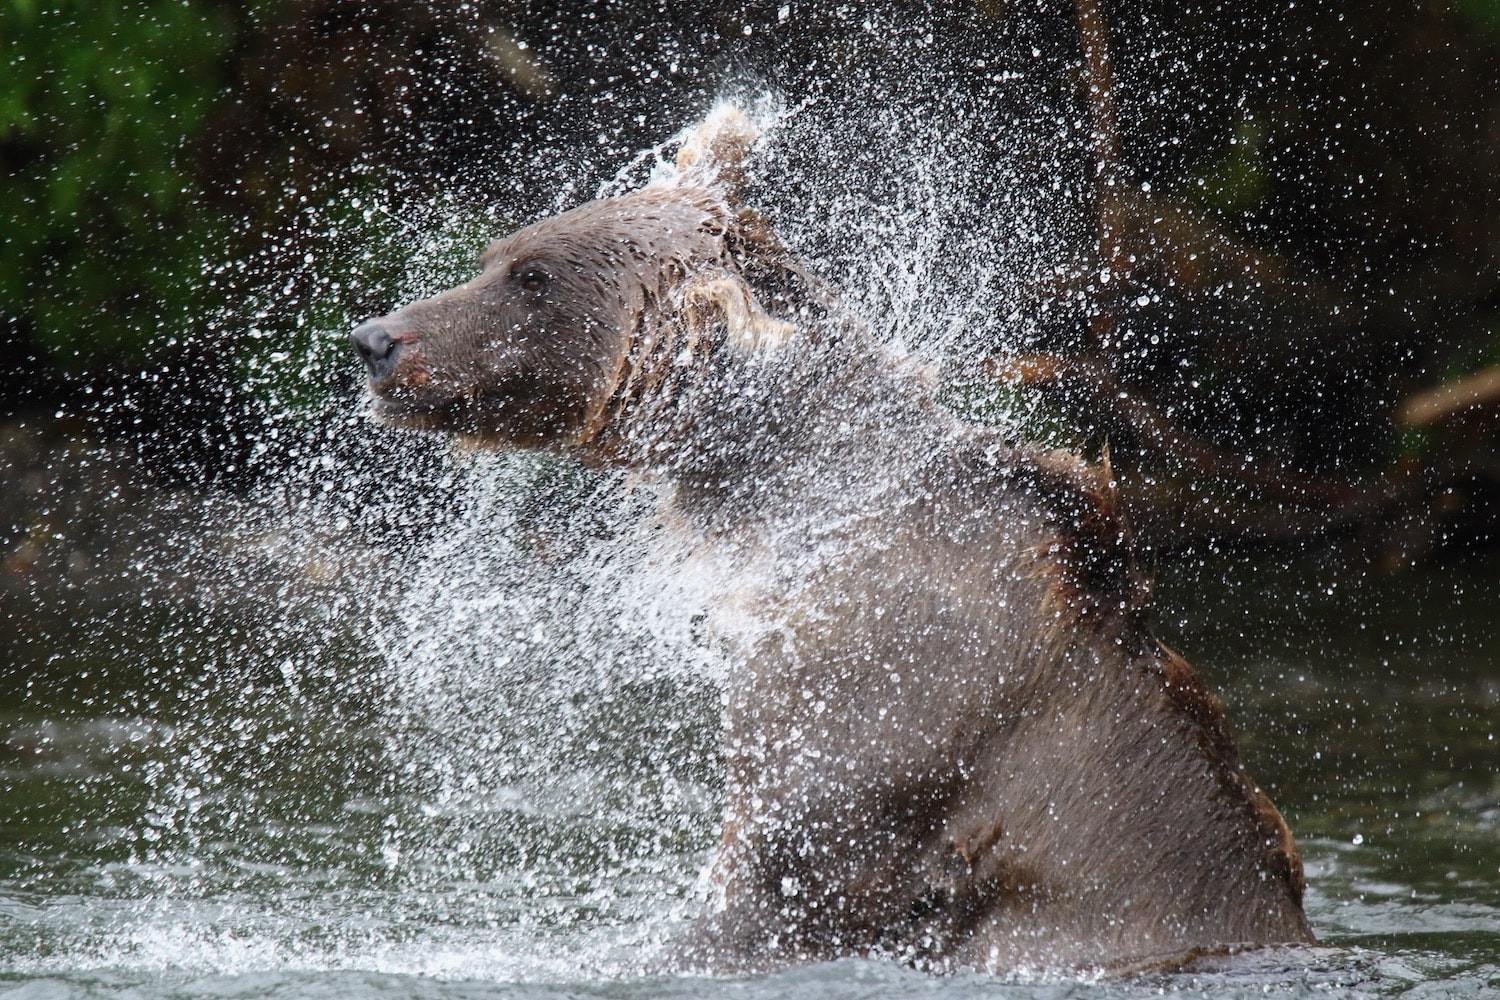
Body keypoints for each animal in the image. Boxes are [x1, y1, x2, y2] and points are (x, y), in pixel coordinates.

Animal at [351, 107, 1314, 977]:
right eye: (497, 256)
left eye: (535, 277)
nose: (376, 339)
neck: (800, 507)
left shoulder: (886, 696)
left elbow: (785, 871)